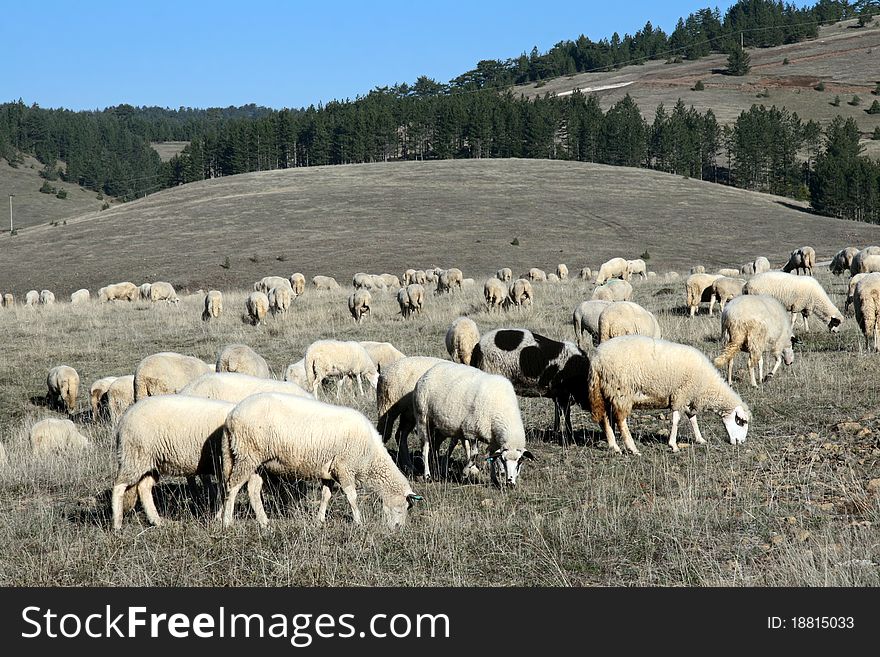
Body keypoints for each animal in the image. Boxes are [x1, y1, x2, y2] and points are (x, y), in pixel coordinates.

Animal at [111, 394, 237, 528]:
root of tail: (123, 419)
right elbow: (225, 492)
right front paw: (220, 517)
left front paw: (219, 516)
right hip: (134, 456)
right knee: (118, 486)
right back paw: (117, 524)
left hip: (151, 462)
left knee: (144, 487)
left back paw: (157, 521)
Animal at [222, 390, 424, 528]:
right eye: (403, 507)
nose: (397, 529)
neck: (370, 457)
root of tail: (231, 415)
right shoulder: (344, 468)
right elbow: (352, 496)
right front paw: (358, 521)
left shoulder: (329, 471)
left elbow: (326, 496)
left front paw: (319, 520)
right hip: (246, 455)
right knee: (233, 486)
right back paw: (227, 521)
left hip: (257, 462)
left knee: (253, 490)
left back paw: (264, 522)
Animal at [588, 336, 752, 454]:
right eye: (741, 422)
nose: (741, 442)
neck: (707, 385)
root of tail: (596, 359)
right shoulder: (681, 394)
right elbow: (676, 420)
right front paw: (673, 445)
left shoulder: (688, 397)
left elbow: (693, 419)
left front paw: (700, 439)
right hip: (621, 391)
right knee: (620, 420)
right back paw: (632, 448)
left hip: (606, 392)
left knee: (605, 418)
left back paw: (614, 446)